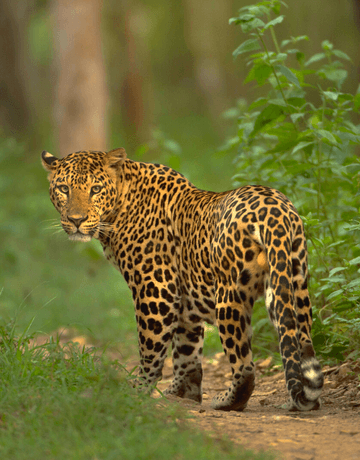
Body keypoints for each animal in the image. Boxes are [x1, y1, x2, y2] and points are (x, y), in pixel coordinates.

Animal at [41, 148, 324, 414]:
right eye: (64, 189)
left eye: (95, 189)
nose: (76, 220)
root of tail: (275, 211)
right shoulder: (186, 298)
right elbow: (187, 349)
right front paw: (182, 393)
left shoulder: (156, 289)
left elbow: (151, 346)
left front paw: (138, 390)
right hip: (293, 283)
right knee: (300, 341)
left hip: (229, 295)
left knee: (244, 365)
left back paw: (227, 400)